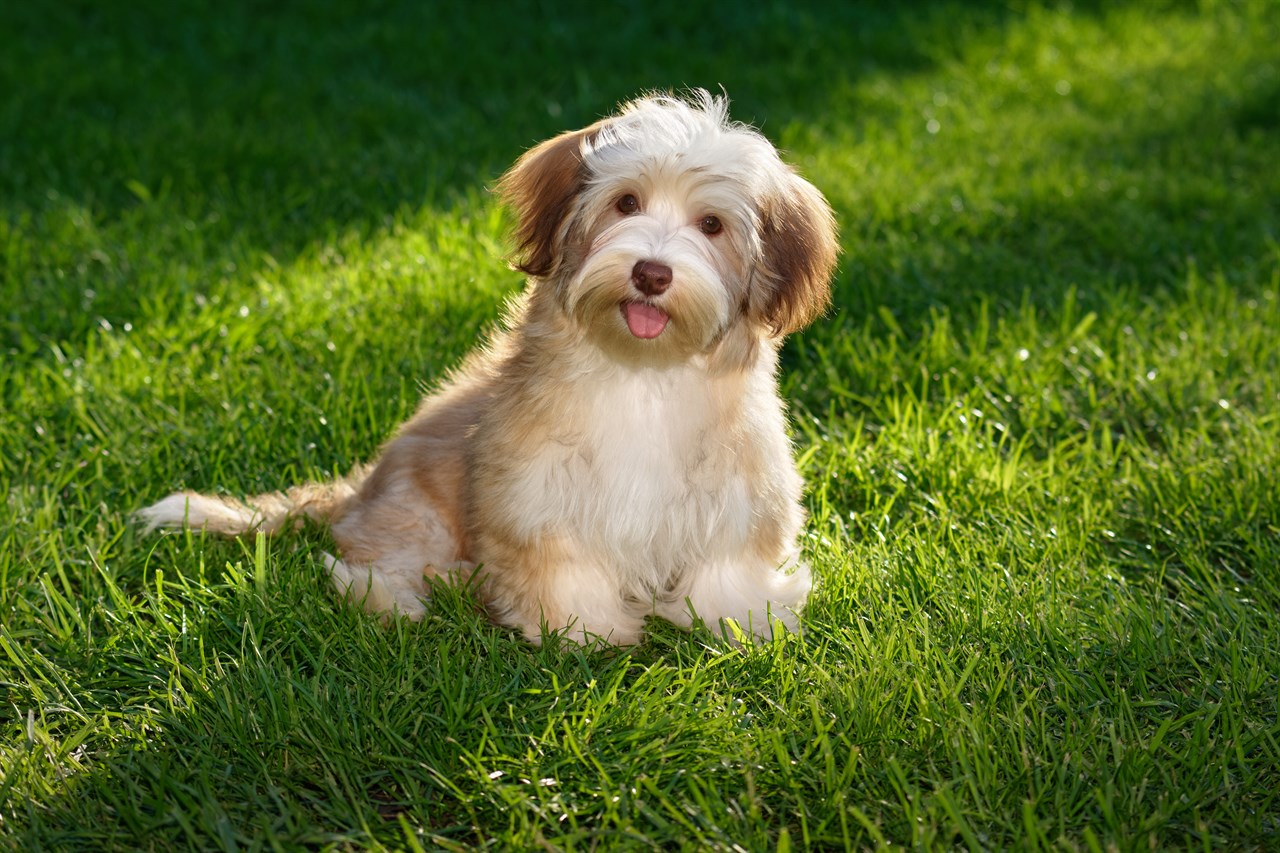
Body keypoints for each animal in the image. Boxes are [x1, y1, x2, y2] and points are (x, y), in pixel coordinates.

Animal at [140, 89, 839, 640]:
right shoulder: (537, 495)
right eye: (626, 203)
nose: (651, 272)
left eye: (712, 224)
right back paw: (409, 597)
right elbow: (565, 569)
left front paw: (741, 622)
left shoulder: (737, 492)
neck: (643, 372)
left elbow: (727, 567)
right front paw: (586, 632)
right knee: (362, 562)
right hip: (414, 509)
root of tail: (361, 486)